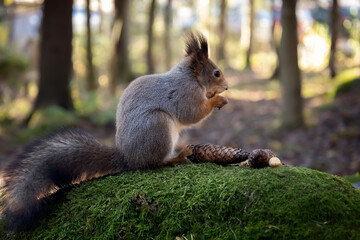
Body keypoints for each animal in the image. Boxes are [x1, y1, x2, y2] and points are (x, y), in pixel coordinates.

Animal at [0, 31, 228, 231]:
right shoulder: (184, 93)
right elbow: (192, 113)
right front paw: (217, 100)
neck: (190, 77)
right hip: (157, 127)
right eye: (216, 73)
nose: (226, 86)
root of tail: (127, 158)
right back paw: (177, 157)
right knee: (154, 163)